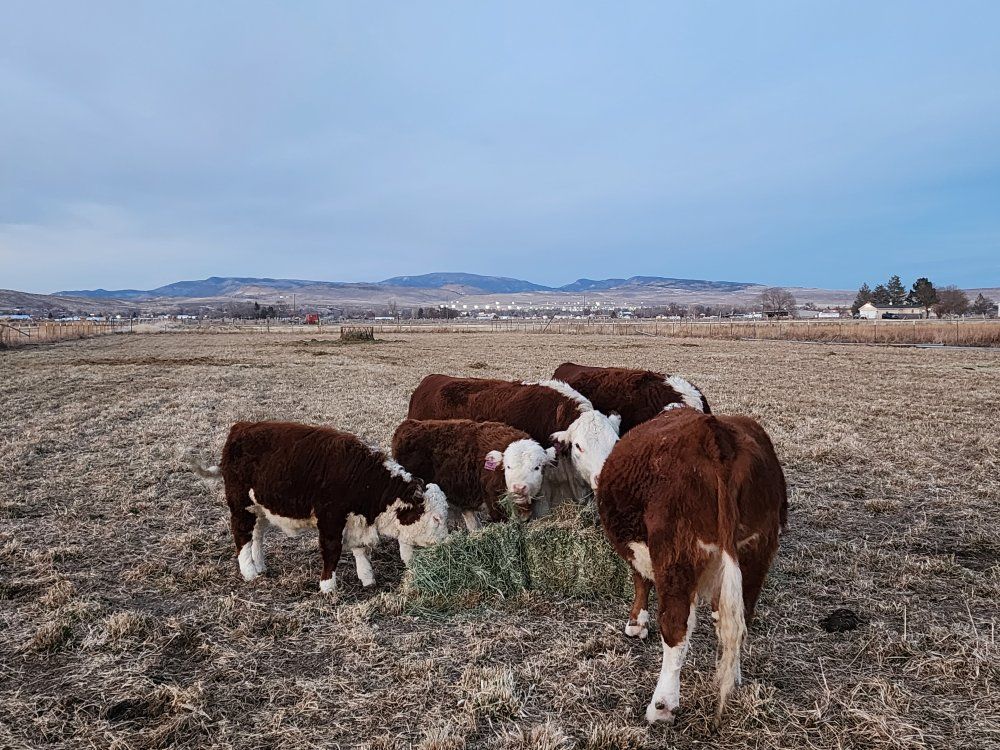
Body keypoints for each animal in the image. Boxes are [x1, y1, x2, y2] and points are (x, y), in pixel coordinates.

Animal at [189, 421, 449, 593]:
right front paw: (327, 586)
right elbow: (331, 550)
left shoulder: (355, 520)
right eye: (436, 519)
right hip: (241, 505)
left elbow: (360, 549)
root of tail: (241, 427)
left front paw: (367, 578)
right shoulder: (330, 519)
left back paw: (259, 564)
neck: (363, 477)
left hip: (260, 508)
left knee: (257, 535)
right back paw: (249, 572)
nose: (447, 542)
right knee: (242, 535)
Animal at [596, 406, 787, 724]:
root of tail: (714, 435)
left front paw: (636, 624)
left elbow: (640, 582)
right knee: (740, 619)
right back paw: (731, 678)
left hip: (676, 553)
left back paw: (662, 705)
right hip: (755, 553)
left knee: (675, 627)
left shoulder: (641, 554)